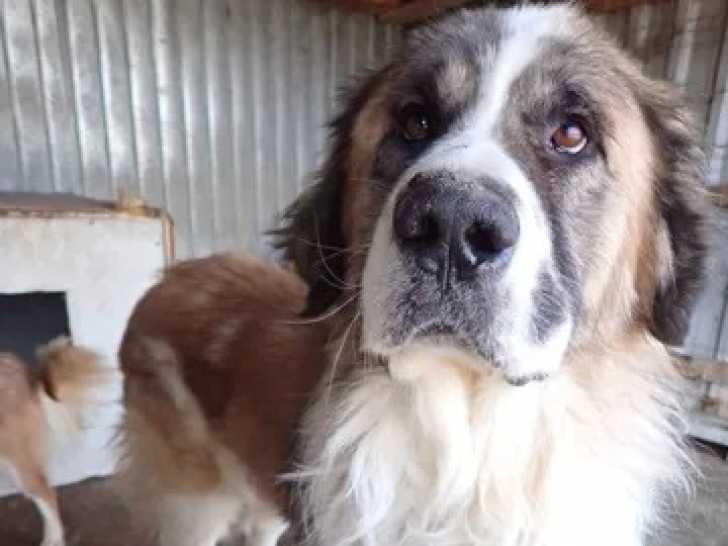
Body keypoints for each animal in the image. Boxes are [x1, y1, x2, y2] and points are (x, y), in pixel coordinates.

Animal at [118, 4, 708, 546]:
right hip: (194, 505)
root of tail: (168, 278)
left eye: (570, 134)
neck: (472, 449)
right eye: (415, 121)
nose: (451, 222)